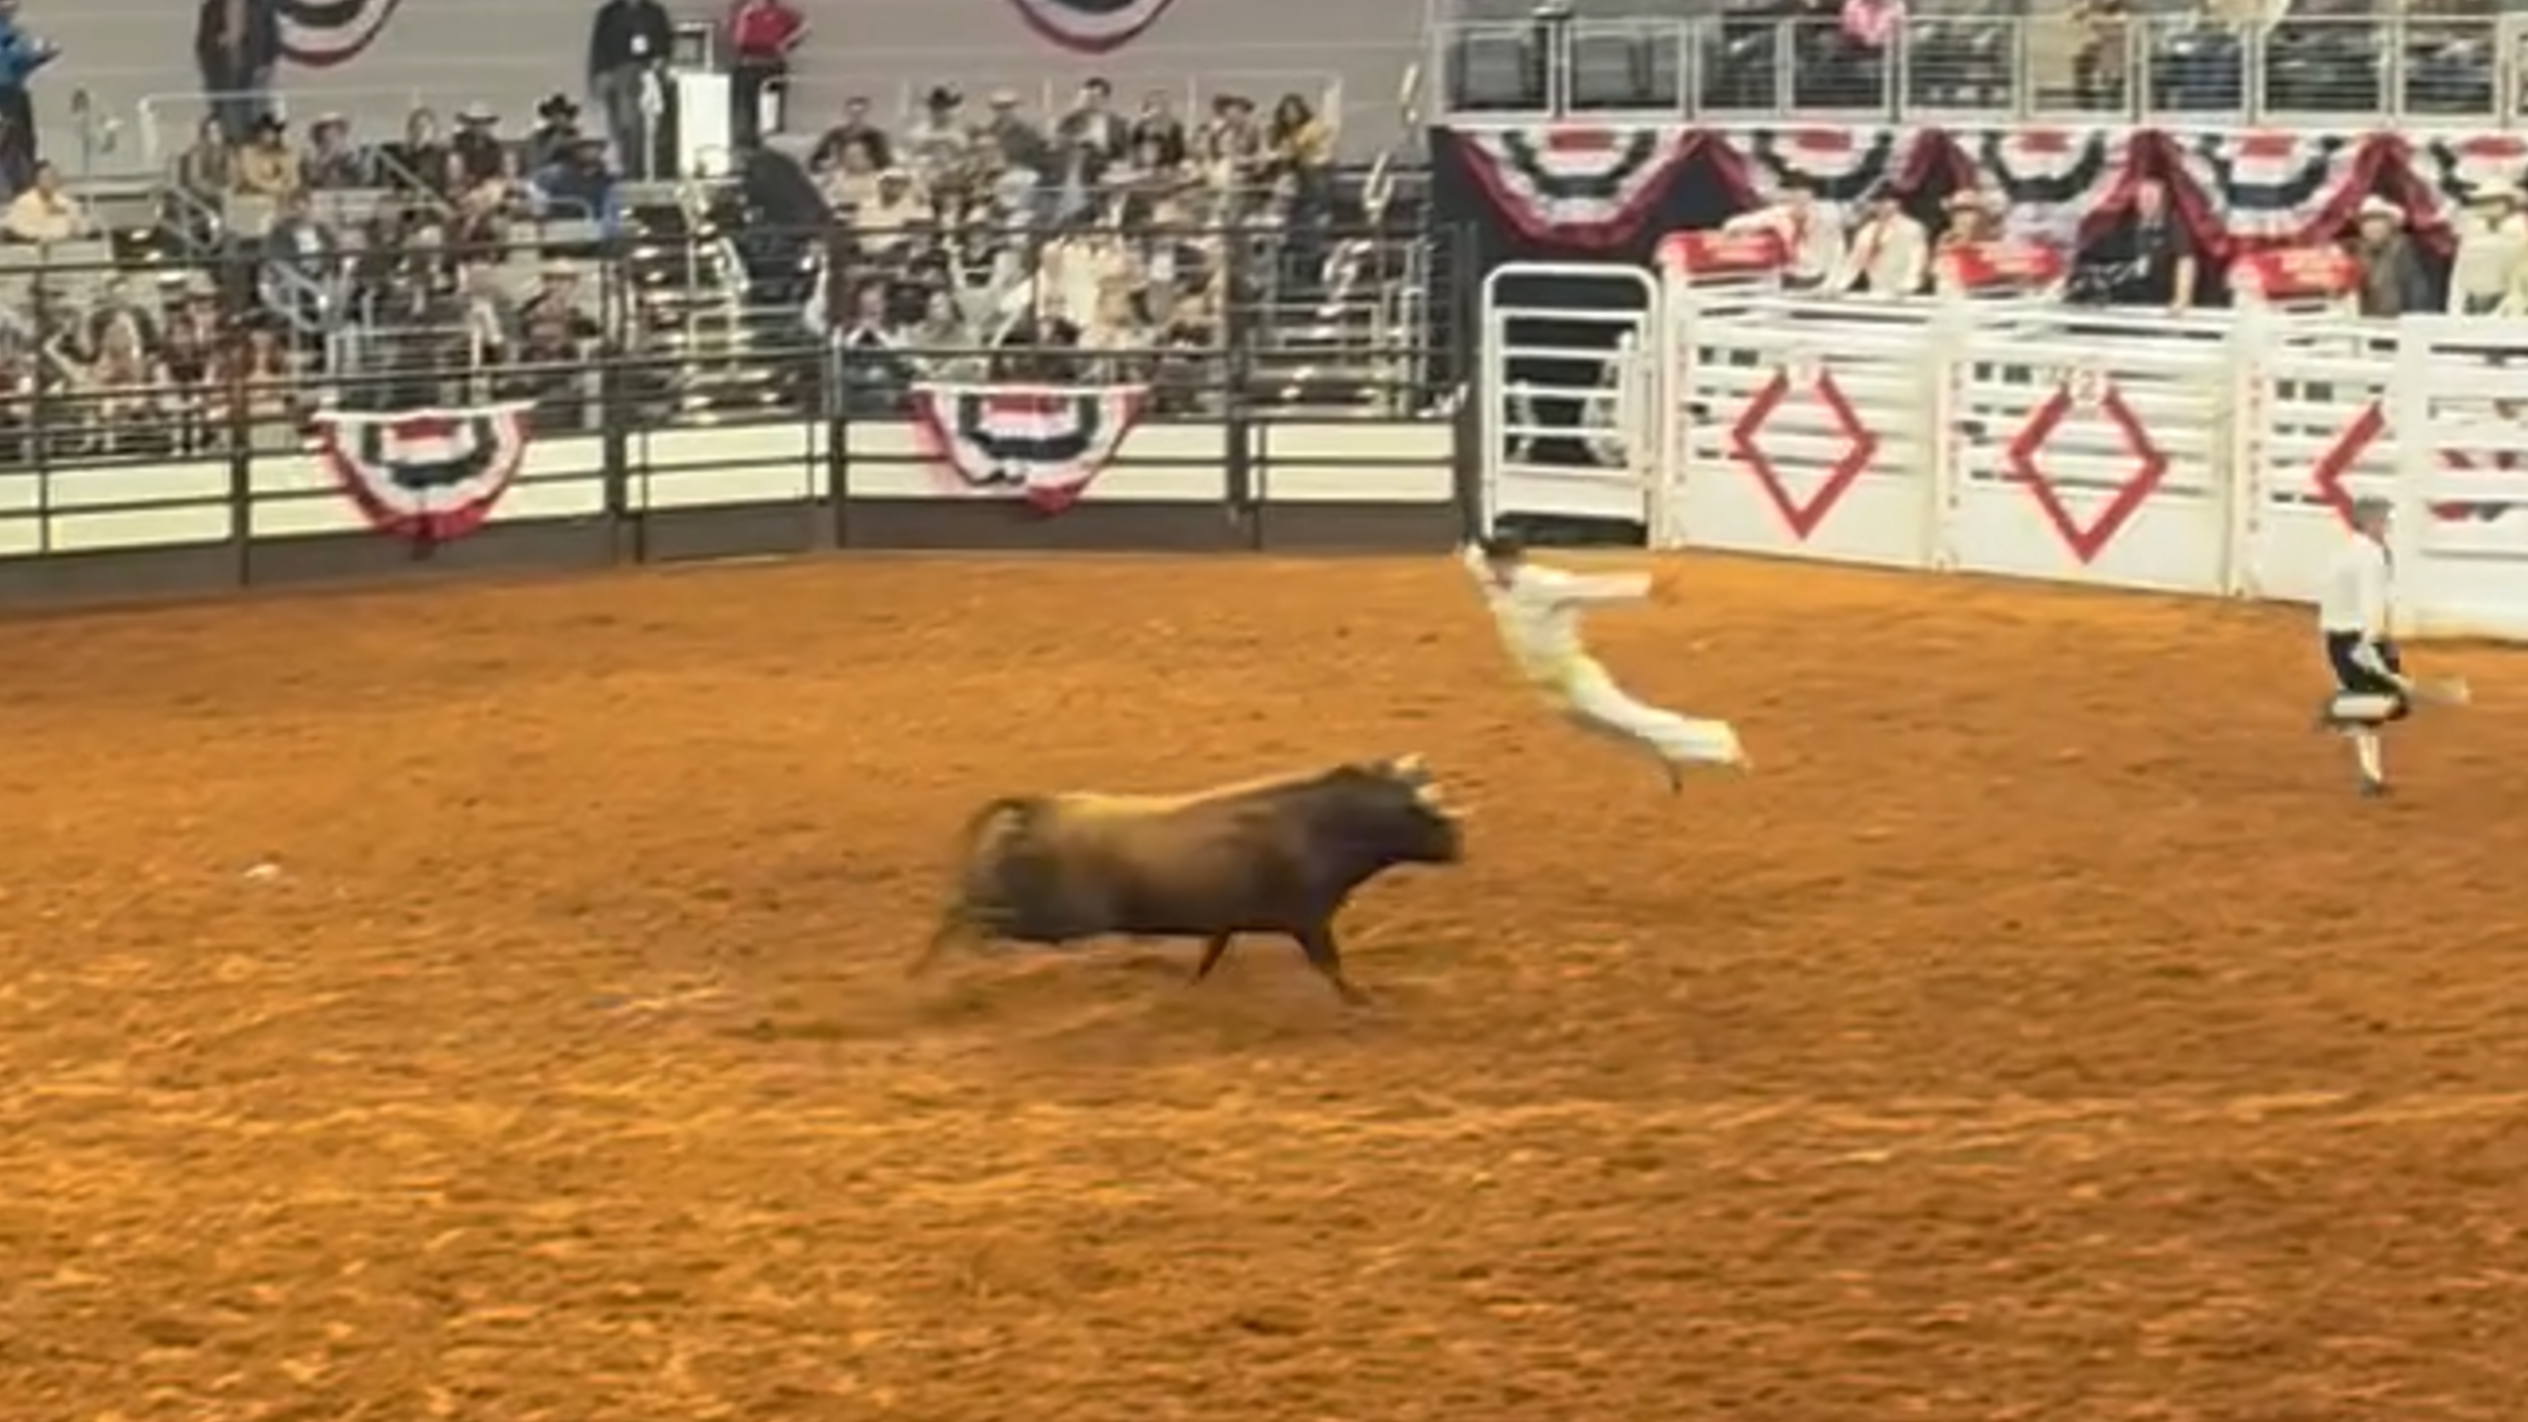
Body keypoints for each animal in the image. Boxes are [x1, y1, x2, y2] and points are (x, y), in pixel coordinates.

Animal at [910, 755, 1466, 1003]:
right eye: (1426, 812)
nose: (1460, 844)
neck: (1318, 824)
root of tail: (1037, 807)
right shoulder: (1309, 920)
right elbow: (1331, 966)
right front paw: (1362, 999)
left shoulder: (1226, 921)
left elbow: (1209, 956)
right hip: (1049, 917)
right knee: (968, 917)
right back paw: (937, 973)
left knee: (964, 910)